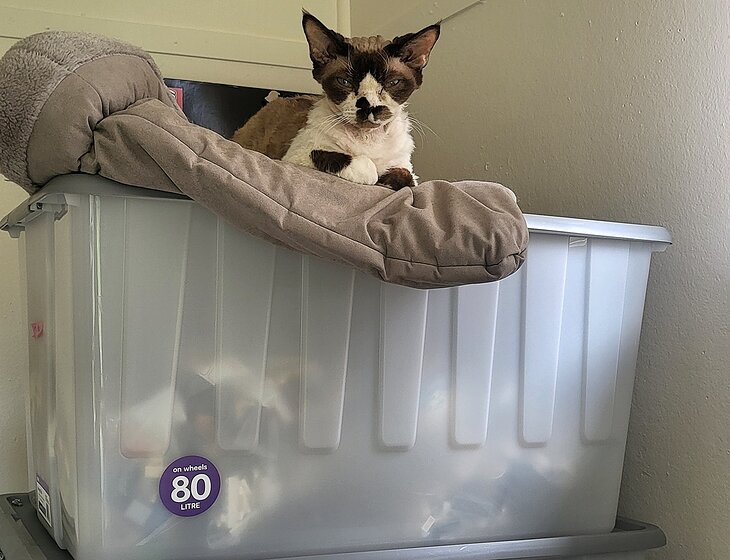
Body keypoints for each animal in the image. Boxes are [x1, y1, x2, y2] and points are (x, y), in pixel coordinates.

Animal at [231, 11, 440, 190]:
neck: (369, 140)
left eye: (392, 83)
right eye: (344, 82)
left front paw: (386, 179)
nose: (369, 107)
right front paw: (376, 175)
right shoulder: (297, 155)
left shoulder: (406, 168)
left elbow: (406, 179)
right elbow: (367, 168)